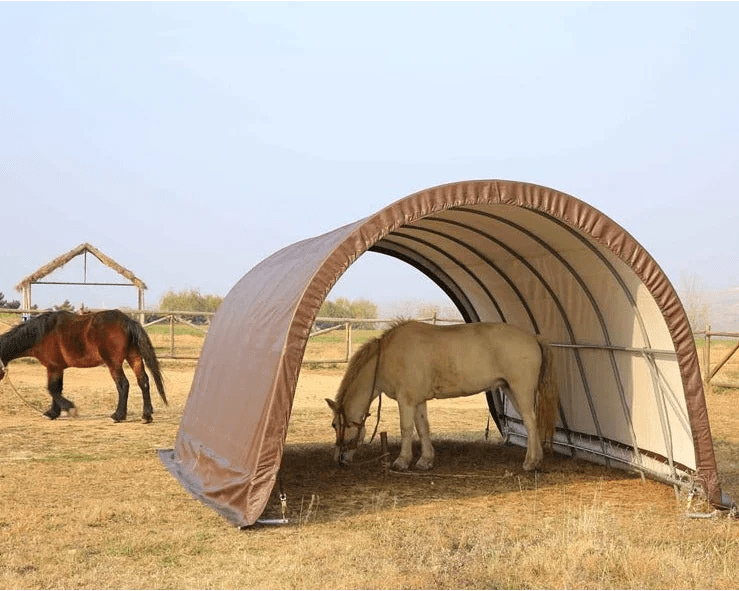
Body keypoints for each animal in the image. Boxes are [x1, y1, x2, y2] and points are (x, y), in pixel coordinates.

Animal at [0, 312, 168, 424]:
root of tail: (127, 321)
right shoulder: (57, 368)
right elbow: (57, 389)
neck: (43, 333)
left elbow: (52, 389)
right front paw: (53, 412)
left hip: (114, 364)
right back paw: (146, 416)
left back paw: (118, 415)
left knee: (123, 385)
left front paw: (69, 409)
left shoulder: (53, 367)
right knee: (143, 382)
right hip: (134, 358)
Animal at [326, 322, 556, 474]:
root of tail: (533, 337)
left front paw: (402, 461)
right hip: (510, 390)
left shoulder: (405, 400)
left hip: (521, 390)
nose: (339, 459)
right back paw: (538, 460)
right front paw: (425, 460)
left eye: (336, 424)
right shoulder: (418, 400)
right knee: (531, 423)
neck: (385, 358)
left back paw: (531, 462)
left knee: (530, 422)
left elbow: (406, 429)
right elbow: (423, 428)